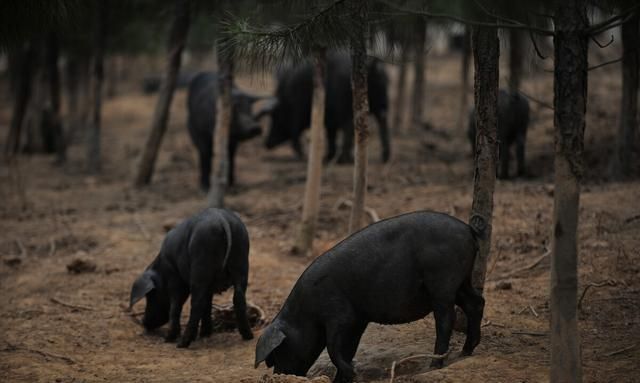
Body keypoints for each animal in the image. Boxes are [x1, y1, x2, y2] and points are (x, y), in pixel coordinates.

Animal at [129, 208, 252, 350]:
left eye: (150, 295)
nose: (143, 322)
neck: (162, 269)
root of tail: (222, 219)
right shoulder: (209, 287)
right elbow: (207, 305)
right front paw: (205, 334)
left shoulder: (174, 279)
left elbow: (175, 306)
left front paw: (168, 339)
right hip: (241, 262)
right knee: (239, 298)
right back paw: (248, 336)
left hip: (200, 266)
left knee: (197, 304)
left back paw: (182, 344)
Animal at [254, 212, 484, 382]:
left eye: (278, 353)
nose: (277, 376)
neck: (306, 313)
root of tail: (468, 229)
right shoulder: (357, 320)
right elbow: (348, 349)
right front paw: (344, 378)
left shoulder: (339, 316)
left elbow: (333, 348)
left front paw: (352, 374)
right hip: (461, 280)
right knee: (476, 302)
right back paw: (466, 352)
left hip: (442, 282)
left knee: (445, 319)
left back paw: (433, 365)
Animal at [256, 52, 390, 164]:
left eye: (275, 116)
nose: (267, 143)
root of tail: (373, 66)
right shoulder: (330, 119)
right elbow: (331, 135)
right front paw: (329, 156)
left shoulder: (299, 114)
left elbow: (299, 135)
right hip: (382, 104)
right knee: (382, 123)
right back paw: (384, 157)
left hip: (348, 108)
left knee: (349, 129)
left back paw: (343, 159)